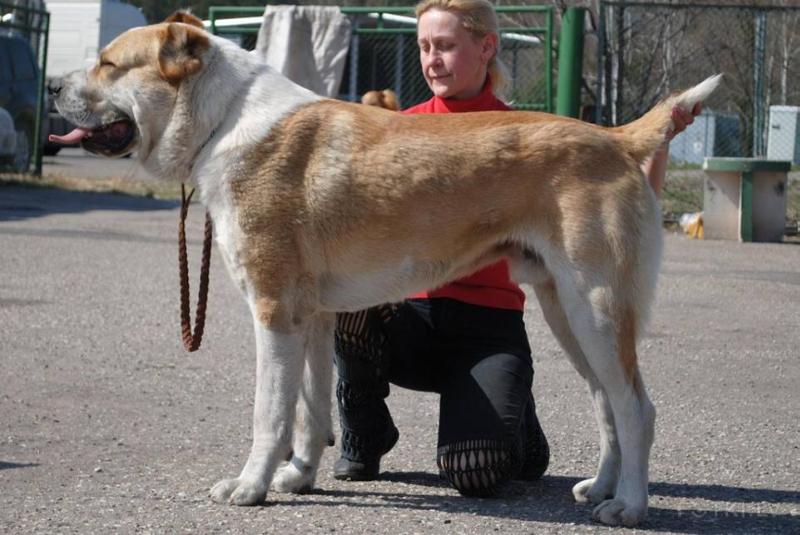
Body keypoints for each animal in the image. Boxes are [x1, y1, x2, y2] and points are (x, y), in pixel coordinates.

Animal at [51, 14, 724, 528]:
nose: (54, 85)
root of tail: (619, 139)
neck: (225, 119)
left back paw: (629, 507)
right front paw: (299, 476)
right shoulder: (313, 320)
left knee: (637, 408)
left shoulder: (273, 313)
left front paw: (249, 487)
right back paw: (601, 488)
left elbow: (269, 413)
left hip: (597, 308)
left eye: (109, 64)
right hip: (568, 313)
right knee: (608, 403)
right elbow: (310, 410)